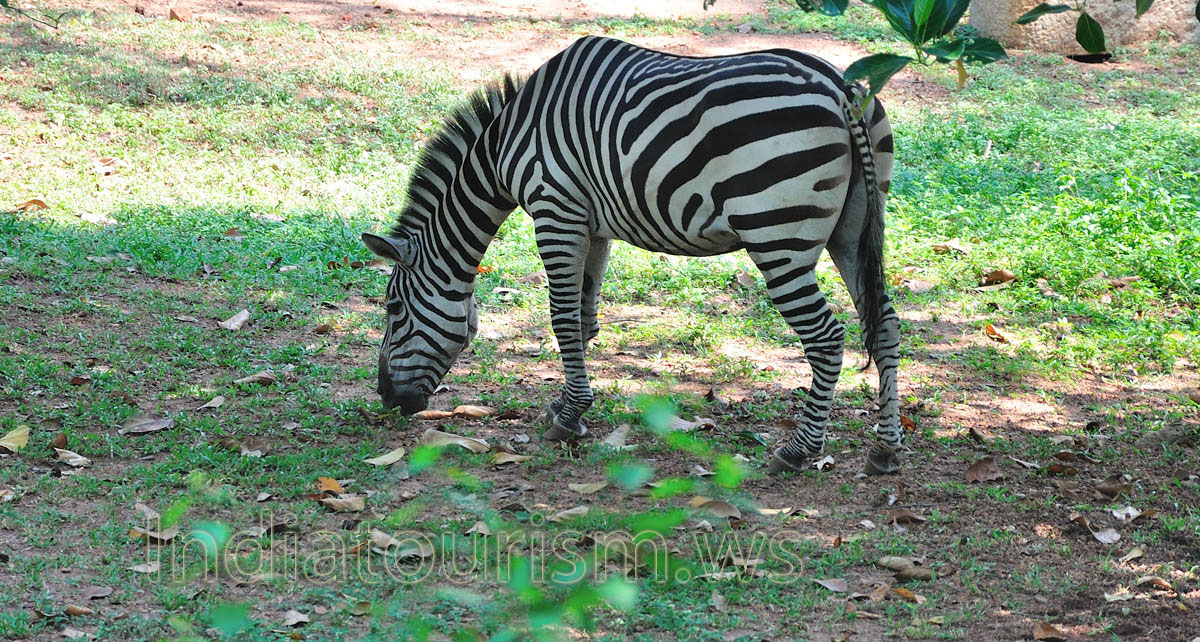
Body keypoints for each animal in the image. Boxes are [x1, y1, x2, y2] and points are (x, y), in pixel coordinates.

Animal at [362, 35, 904, 475]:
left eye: (393, 309)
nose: (386, 398)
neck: (501, 146)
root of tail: (838, 87)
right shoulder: (592, 225)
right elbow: (584, 318)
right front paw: (568, 409)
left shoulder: (555, 209)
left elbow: (562, 318)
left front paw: (568, 417)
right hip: (854, 229)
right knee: (885, 324)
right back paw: (886, 450)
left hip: (778, 238)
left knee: (827, 338)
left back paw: (798, 450)